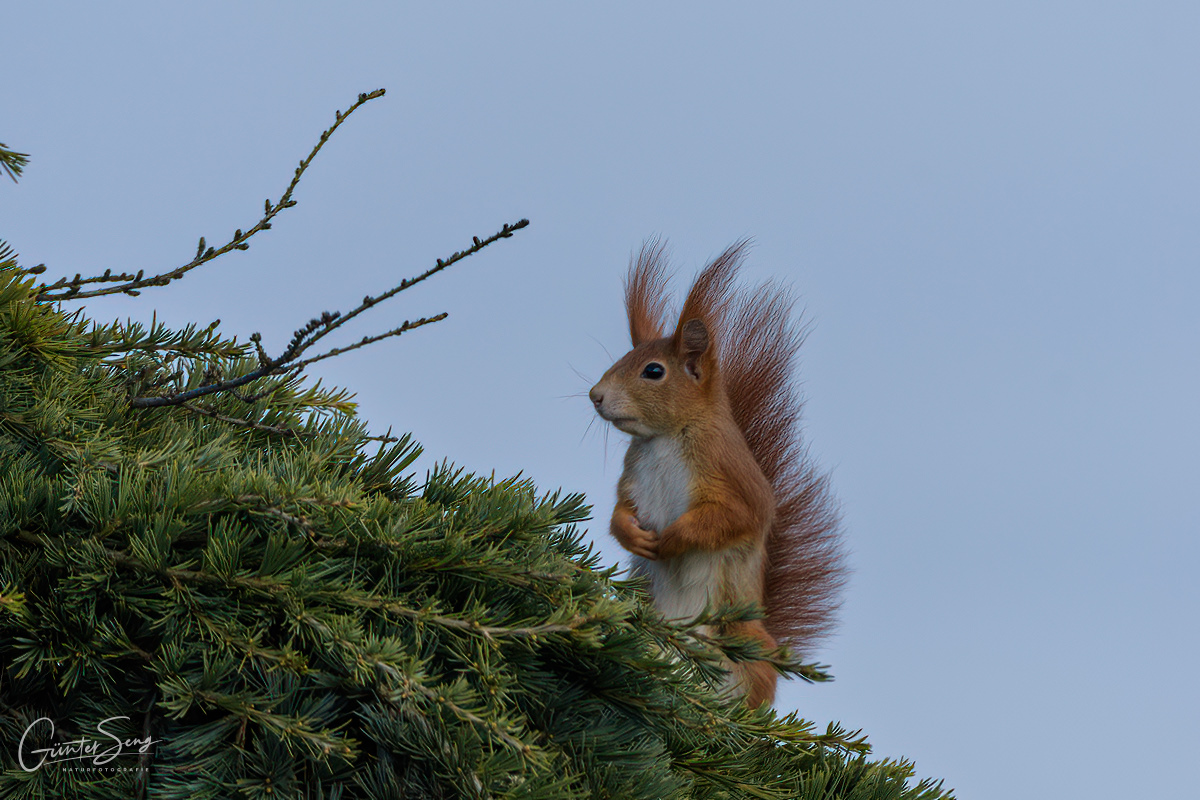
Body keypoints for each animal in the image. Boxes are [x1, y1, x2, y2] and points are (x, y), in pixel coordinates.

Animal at [588, 239, 844, 705]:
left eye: (653, 371)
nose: (595, 396)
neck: (666, 438)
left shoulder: (732, 477)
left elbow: (733, 518)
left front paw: (673, 538)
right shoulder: (631, 477)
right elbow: (619, 510)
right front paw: (633, 535)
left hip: (738, 642)